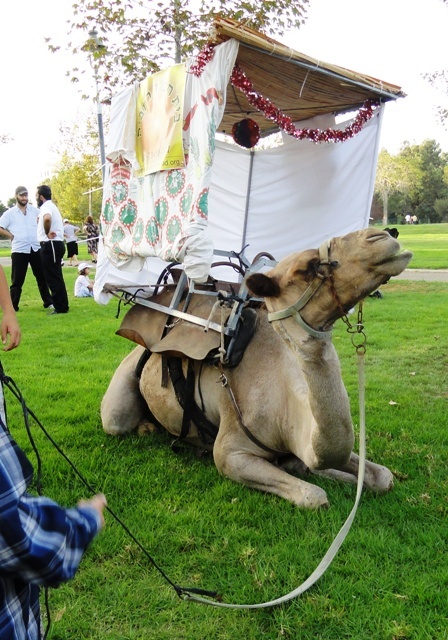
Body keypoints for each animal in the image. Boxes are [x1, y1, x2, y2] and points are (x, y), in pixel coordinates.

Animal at [101, 228, 412, 508]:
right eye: (309, 267)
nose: (385, 235)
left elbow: (383, 476)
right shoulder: (231, 452)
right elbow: (315, 497)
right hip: (120, 396)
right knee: (116, 420)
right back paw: (145, 427)